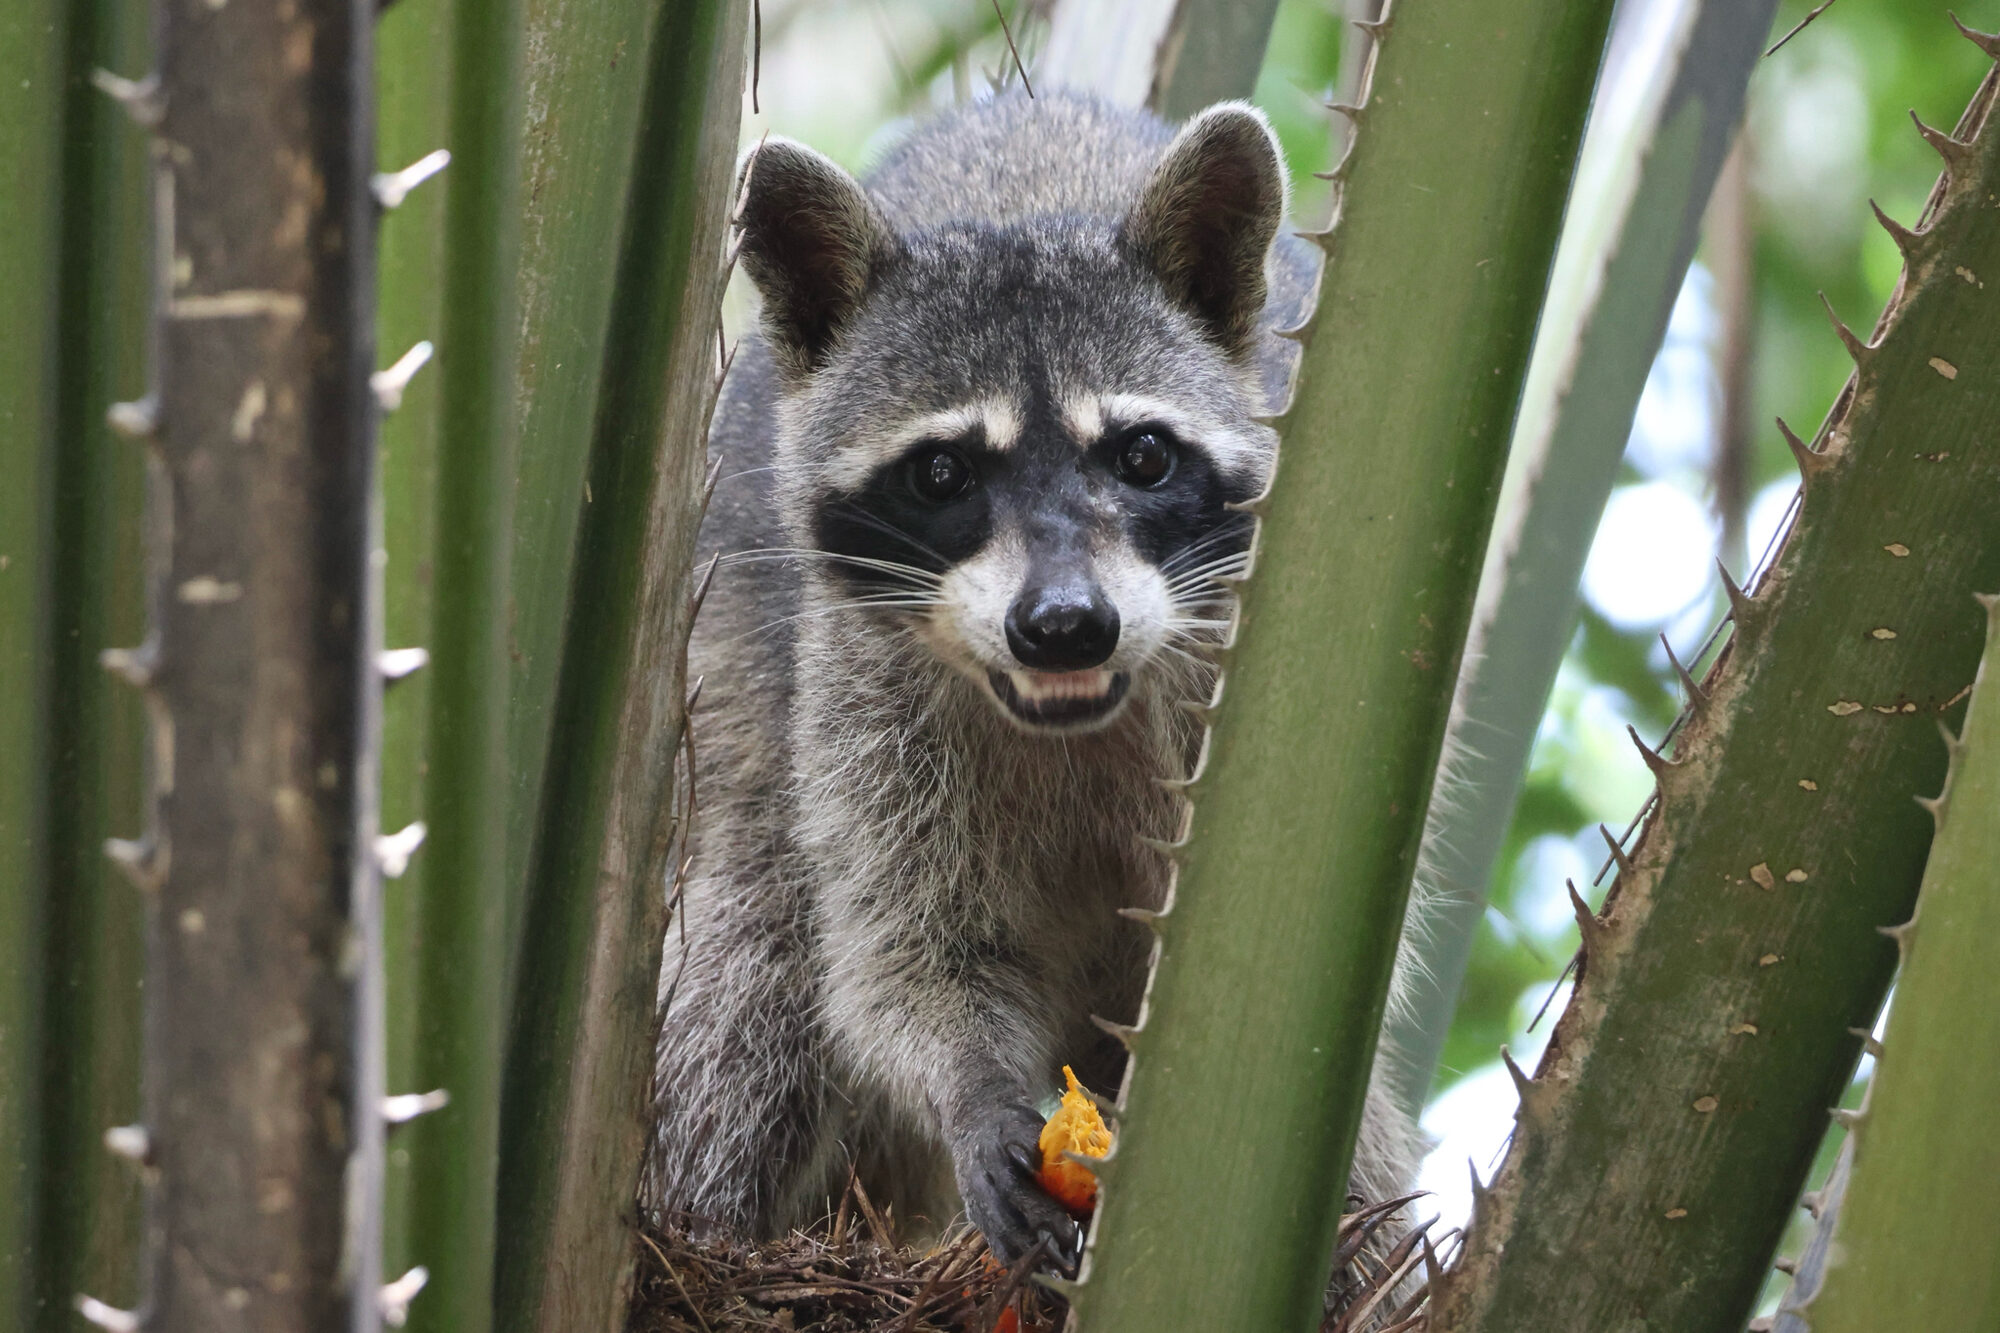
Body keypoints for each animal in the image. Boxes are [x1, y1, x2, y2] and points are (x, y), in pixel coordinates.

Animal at [646, 90, 1420, 1271]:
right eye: (941, 473)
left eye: (1142, 457)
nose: (1064, 628)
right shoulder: (864, 686)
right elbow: (903, 949)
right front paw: (973, 1084)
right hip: (731, 654)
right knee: (756, 948)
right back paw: (699, 1227)